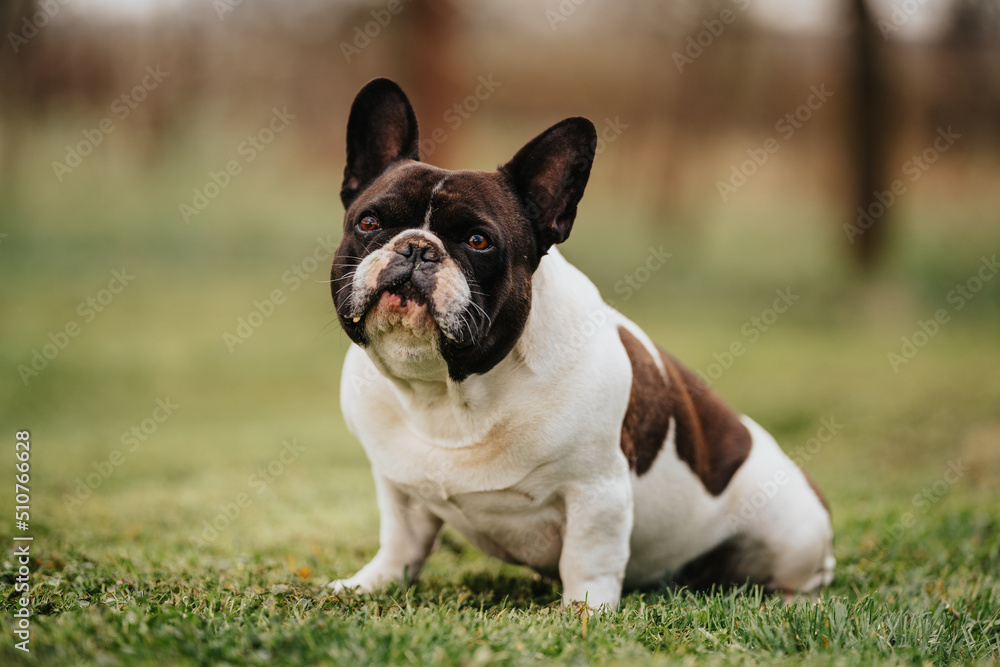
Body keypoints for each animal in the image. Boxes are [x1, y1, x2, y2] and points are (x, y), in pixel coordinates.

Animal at [328, 79, 836, 612]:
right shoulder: (397, 486)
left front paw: (585, 612)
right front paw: (372, 583)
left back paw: (795, 602)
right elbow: (401, 542)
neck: (448, 394)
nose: (417, 247)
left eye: (478, 240)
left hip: (792, 531)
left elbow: (587, 558)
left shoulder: (598, 491)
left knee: (807, 573)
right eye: (369, 223)